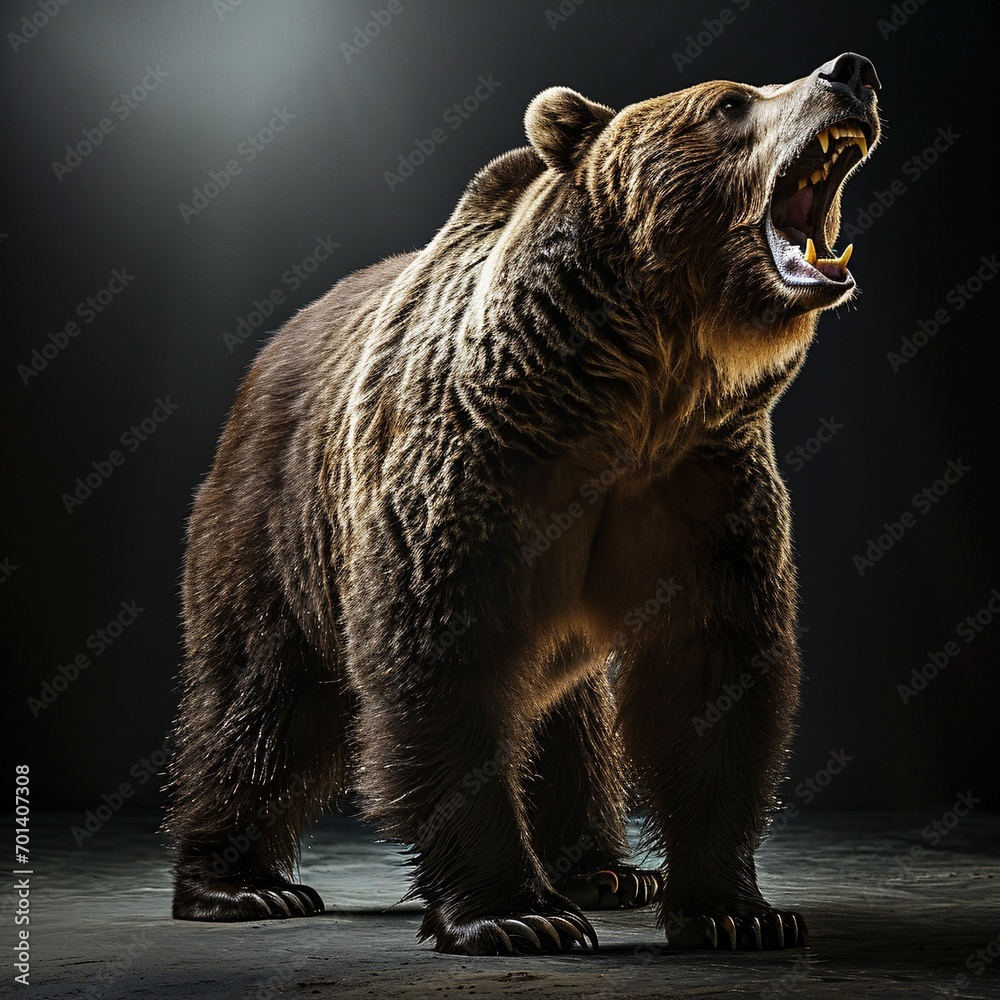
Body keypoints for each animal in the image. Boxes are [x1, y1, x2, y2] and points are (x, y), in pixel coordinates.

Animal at [165, 52, 881, 955]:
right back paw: (240, 884)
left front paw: (734, 910)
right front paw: (515, 912)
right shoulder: (478, 468)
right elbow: (443, 661)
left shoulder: (701, 483)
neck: (633, 396)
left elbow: (710, 670)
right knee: (261, 699)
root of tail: (270, 351)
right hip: (274, 516)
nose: (851, 72)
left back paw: (606, 870)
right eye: (730, 104)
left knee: (568, 724)